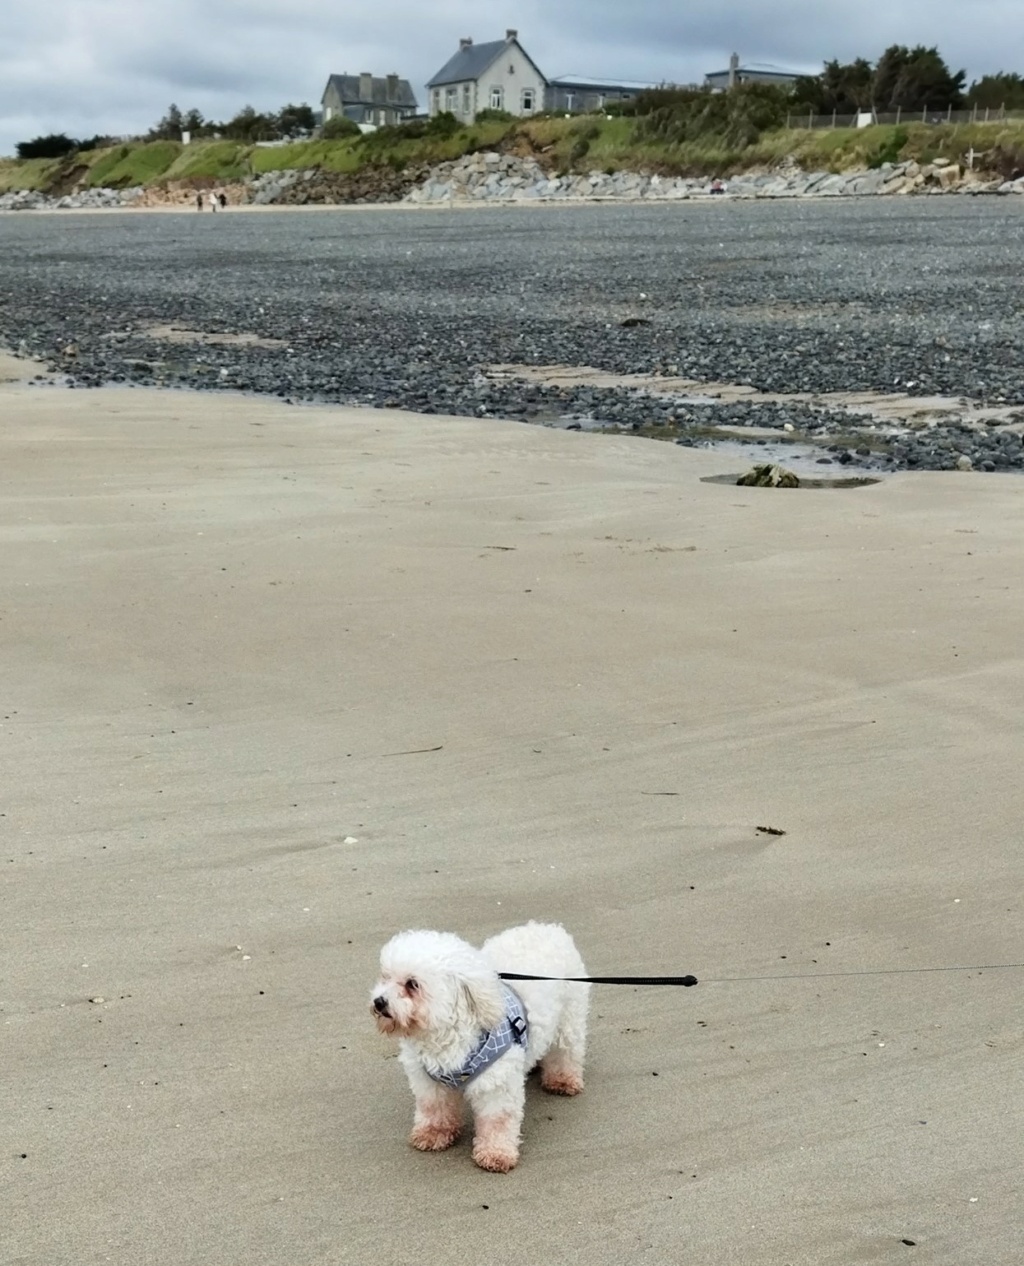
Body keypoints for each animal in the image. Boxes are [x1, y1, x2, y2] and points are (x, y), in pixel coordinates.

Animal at [372, 921, 587, 1174]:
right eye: (385, 977)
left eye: (412, 984)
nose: (379, 1002)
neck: (444, 1033)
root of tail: (550, 928)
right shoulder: (429, 1082)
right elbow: (434, 1108)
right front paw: (434, 1133)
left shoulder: (496, 1088)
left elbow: (497, 1121)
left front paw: (496, 1153)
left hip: (569, 1018)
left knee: (566, 1051)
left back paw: (562, 1079)